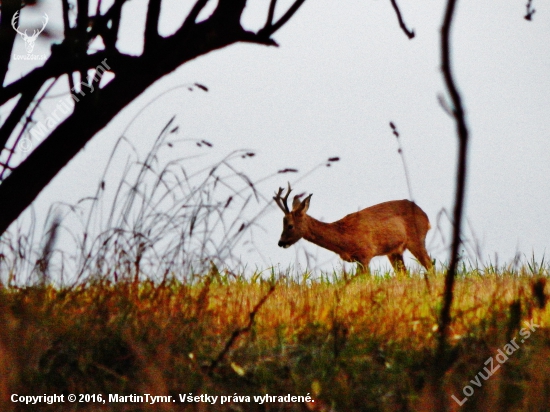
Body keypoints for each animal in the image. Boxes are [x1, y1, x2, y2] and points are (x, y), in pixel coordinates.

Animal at [274, 183, 434, 274]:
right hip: (394, 252)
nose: (281, 242)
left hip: (416, 239)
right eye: (282, 222)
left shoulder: (365, 254)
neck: (343, 239)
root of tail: (426, 216)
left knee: (430, 266)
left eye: (290, 225)